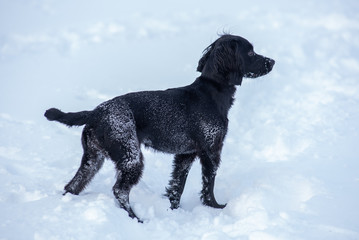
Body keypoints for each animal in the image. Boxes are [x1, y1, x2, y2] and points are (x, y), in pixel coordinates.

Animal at [45, 33, 276, 221]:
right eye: (251, 52)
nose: (272, 61)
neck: (212, 92)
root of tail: (95, 112)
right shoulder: (211, 151)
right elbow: (208, 184)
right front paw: (216, 208)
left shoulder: (186, 155)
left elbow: (177, 187)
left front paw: (174, 211)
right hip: (131, 157)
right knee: (119, 190)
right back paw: (136, 219)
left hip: (93, 159)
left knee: (72, 186)